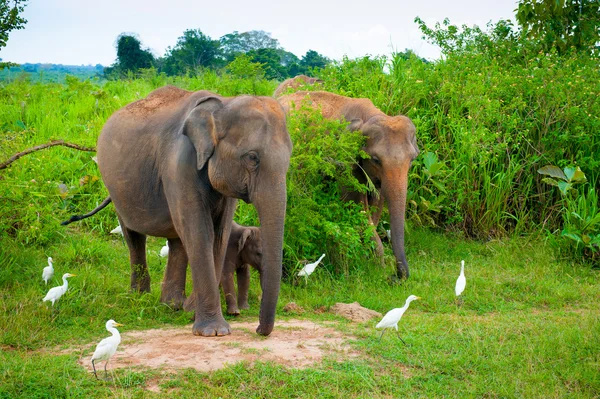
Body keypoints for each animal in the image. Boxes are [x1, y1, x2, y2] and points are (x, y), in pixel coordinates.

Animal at [97, 85, 292, 338]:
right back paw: (140, 297)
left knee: (177, 240)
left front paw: (191, 313)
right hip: (115, 186)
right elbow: (200, 231)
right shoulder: (178, 165)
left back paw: (172, 305)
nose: (259, 330)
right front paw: (214, 331)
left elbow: (219, 234)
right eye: (252, 157)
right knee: (134, 236)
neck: (223, 104)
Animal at [278, 91, 420, 280]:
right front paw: (379, 268)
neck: (369, 116)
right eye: (376, 160)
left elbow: (376, 204)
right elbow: (354, 203)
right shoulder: (345, 157)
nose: (395, 277)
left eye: (412, 159)